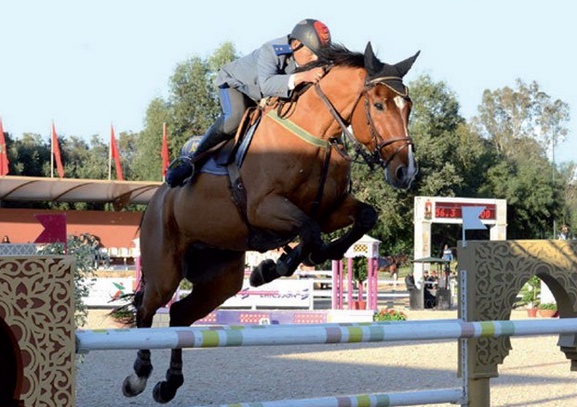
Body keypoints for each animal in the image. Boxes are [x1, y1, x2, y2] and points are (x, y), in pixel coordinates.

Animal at [122, 43, 418, 404]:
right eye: (378, 104)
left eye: (408, 107)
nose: (406, 172)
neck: (315, 136)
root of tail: (156, 199)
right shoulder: (264, 208)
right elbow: (310, 232)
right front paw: (275, 267)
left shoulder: (329, 209)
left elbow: (360, 218)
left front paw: (275, 267)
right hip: (165, 270)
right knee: (146, 308)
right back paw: (138, 376)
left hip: (221, 278)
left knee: (179, 314)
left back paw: (169, 384)